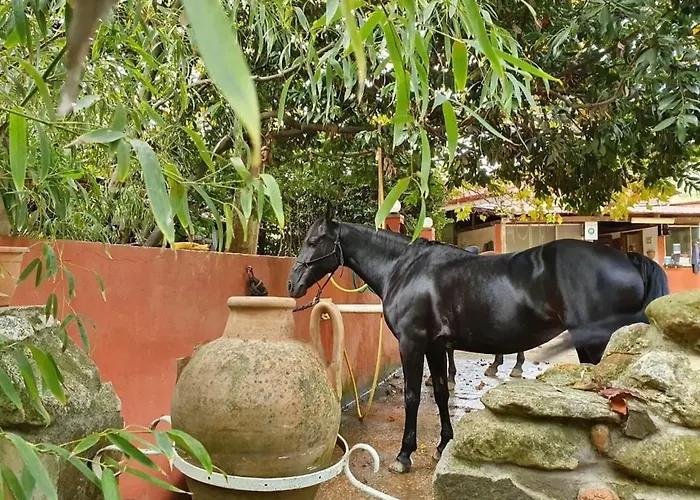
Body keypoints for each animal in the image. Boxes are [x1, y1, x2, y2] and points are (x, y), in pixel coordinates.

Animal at [287, 205, 669, 474]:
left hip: (597, 343)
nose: (292, 284)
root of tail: (627, 258)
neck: (406, 269)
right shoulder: (436, 346)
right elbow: (441, 393)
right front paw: (443, 445)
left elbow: (412, 397)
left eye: (313, 241)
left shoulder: (413, 344)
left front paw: (404, 455)